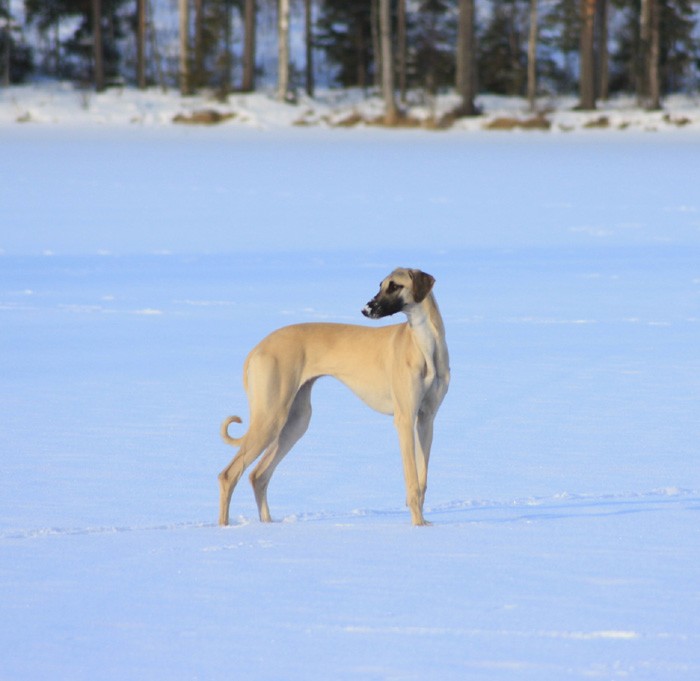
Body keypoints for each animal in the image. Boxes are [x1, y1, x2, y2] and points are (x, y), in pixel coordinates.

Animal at [216, 266, 452, 524]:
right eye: (381, 284)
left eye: (395, 285)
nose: (365, 309)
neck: (424, 345)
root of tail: (257, 349)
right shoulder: (405, 419)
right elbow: (412, 481)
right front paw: (417, 525)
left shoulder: (426, 419)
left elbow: (422, 479)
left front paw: (424, 525)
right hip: (270, 418)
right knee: (229, 475)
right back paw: (224, 526)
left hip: (295, 422)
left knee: (258, 475)